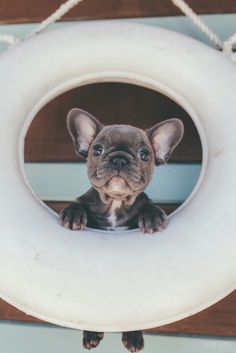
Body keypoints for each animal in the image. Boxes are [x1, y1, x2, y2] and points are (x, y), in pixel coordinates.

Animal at [59, 108, 184, 350]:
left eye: (145, 154)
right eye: (97, 149)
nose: (119, 159)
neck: (115, 203)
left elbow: (147, 205)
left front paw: (153, 216)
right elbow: (78, 203)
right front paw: (72, 213)